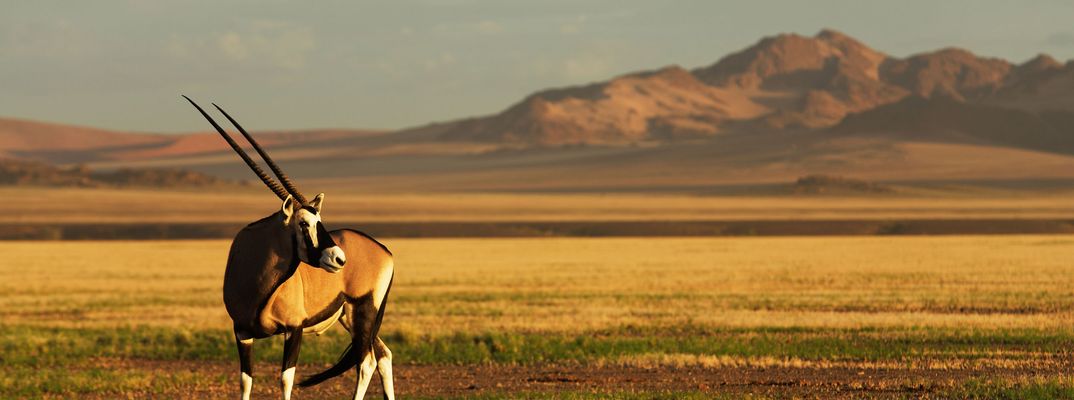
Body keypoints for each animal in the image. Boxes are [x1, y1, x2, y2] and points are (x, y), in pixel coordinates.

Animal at [182, 96, 397, 400]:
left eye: (319, 220)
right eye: (304, 223)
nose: (339, 258)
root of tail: (384, 250)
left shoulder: (293, 329)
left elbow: (286, 379)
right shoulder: (241, 332)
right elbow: (245, 380)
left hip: (364, 310)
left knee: (365, 361)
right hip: (352, 317)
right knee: (382, 355)